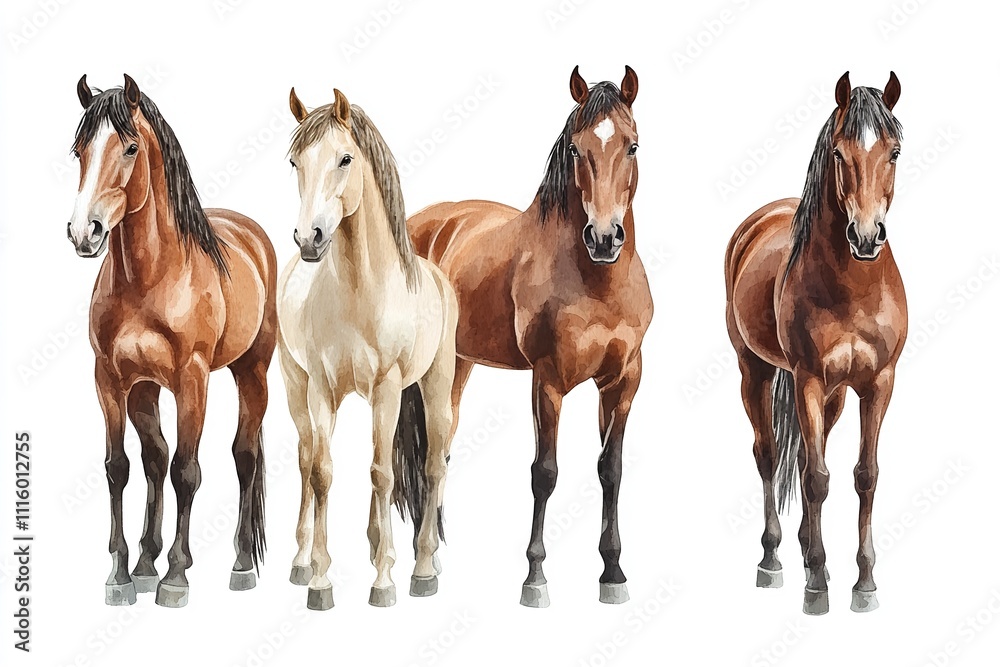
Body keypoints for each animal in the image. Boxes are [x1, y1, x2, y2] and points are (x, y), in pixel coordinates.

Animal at [67, 74, 278, 608]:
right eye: (79, 150)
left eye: (130, 147)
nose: (84, 232)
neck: (150, 278)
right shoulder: (112, 380)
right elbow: (121, 467)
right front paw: (123, 574)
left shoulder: (191, 381)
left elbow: (187, 469)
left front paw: (176, 576)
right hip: (144, 389)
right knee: (154, 458)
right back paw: (146, 560)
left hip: (252, 372)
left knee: (244, 456)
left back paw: (241, 565)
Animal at [278, 87, 459, 610]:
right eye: (295, 161)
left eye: (345, 158)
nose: (309, 238)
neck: (363, 289)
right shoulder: (320, 387)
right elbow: (321, 472)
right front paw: (320, 580)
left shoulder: (388, 388)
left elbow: (382, 474)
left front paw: (384, 582)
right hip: (297, 388)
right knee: (306, 459)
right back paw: (309, 560)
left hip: (435, 387)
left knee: (433, 464)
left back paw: (423, 568)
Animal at [407, 66, 653, 607]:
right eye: (577, 149)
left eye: (632, 146)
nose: (604, 238)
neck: (596, 283)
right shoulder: (548, 381)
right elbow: (545, 472)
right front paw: (534, 576)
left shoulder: (623, 382)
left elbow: (611, 470)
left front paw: (613, 572)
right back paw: (422, 563)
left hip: (460, 364)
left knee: (444, 445)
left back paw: (430, 557)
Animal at [725, 72, 907, 615]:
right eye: (839, 153)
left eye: (893, 151)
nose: (866, 237)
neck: (853, 288)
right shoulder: (805, 378)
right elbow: (816, 477)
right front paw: (818, 588)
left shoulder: (877, 383)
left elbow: (864, 474)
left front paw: (863, 582)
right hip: (756, 372)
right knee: (769, 455)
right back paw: (776, 560)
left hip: (836, 394)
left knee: (812, 451)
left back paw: (810, 555)